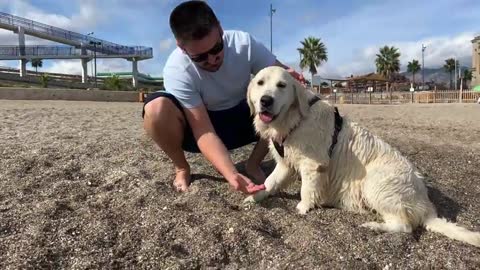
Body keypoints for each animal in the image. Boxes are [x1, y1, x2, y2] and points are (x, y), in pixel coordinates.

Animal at [246, 65, 480, 247]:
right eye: (260, 83)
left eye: (282, 85)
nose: (266, 100)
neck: (294, 119)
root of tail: (426, 205)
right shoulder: (285, 164)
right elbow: (269, 183)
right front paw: (253, 196)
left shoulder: (313, 164)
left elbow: (306, 190)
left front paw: (303, 208)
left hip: (375, 182)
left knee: (404, 226)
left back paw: (374, 225)